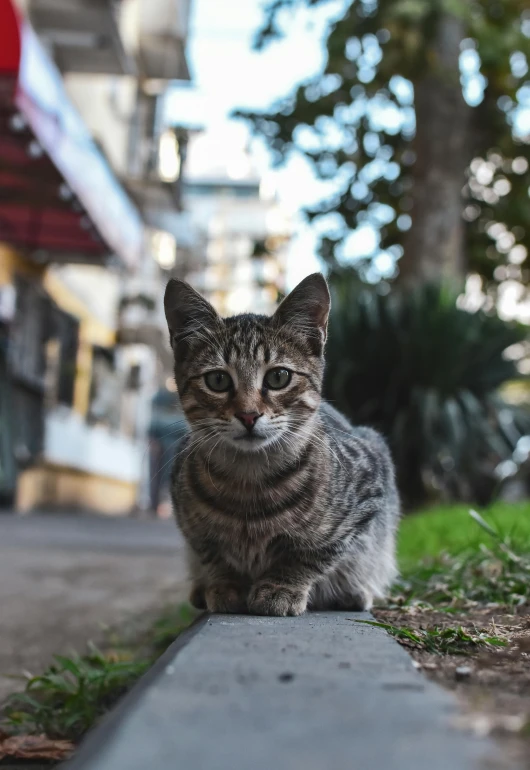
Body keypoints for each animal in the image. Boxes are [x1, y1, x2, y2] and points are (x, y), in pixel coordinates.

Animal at [163, 272, 398, 616]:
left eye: (278, 377)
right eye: (218, 380)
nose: (248, 415)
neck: (248, 484)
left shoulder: (371, 486)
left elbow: (311, 554)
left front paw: (280, 587)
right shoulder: (188, 521)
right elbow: (211, 553)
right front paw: (224, 585)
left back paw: (354, 592)